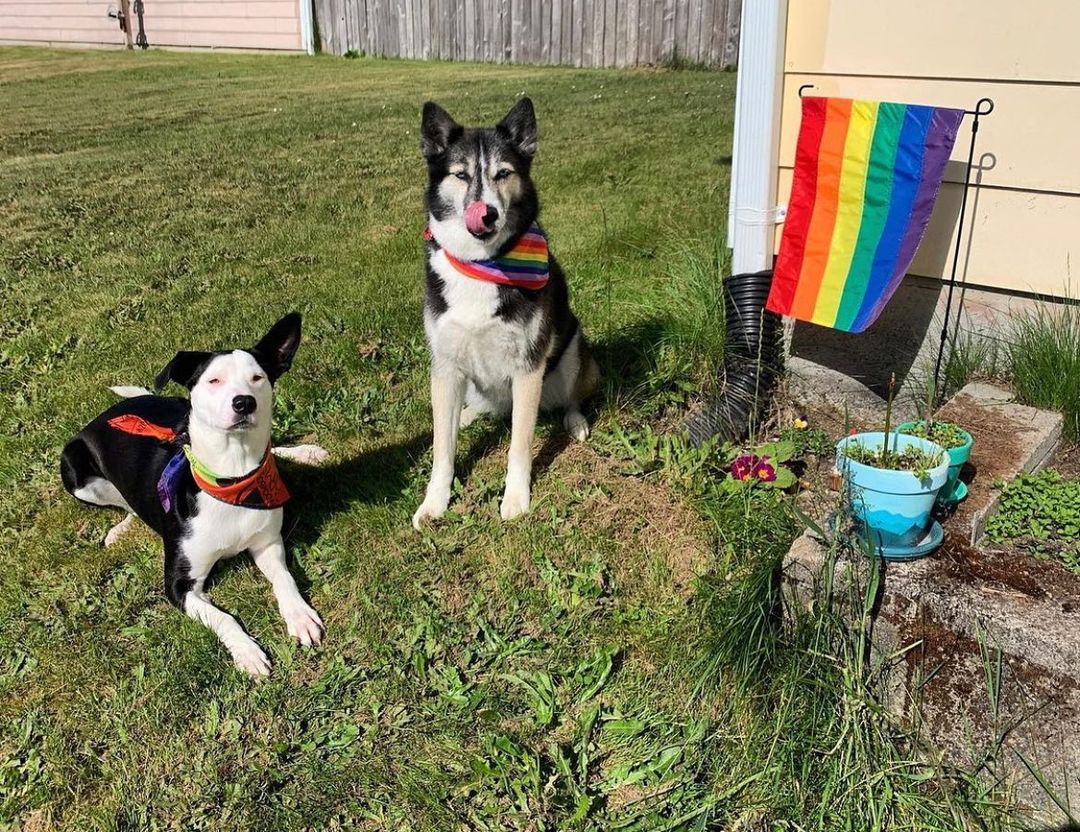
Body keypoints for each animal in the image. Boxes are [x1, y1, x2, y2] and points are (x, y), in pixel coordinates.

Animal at [60, 311, 324, 674]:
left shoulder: (267, 544)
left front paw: (299, 616)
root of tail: (108, 413)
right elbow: (225, 618)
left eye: (258, 377)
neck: (230, 479)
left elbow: (285, 578)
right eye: (214, 381)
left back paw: (306, 453)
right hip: (74, 471)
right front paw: (247, 652)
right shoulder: (178, 586)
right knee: (124, 503)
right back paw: (119, 529)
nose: (244, 402)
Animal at [410, 97, 600, 525]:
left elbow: (519, 445)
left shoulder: (528, 367)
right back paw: (466, 415)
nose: (487, 212)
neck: (482, 263)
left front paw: (515, 498)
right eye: (461, 174)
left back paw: (575, 421)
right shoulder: (445, 364)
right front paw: (434, 501)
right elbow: (443, 449)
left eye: (503, 173)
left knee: (569, 397)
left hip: (571, 352)